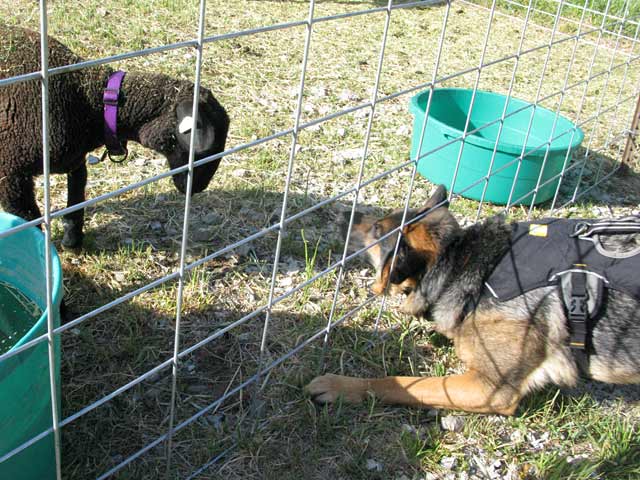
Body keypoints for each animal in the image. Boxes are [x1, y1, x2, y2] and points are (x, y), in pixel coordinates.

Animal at [0, 24, 230, 248]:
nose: (197, 188)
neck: (90, 101)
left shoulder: (75, 161)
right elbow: (30, 220)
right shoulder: (11, 175)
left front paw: (72, 240)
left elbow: (76, 200)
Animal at [306, 186, 640, 414]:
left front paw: (342, 386)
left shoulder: (489, 389)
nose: (343, 213)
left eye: (377, 230)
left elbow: (402, 383)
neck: (464, 263)